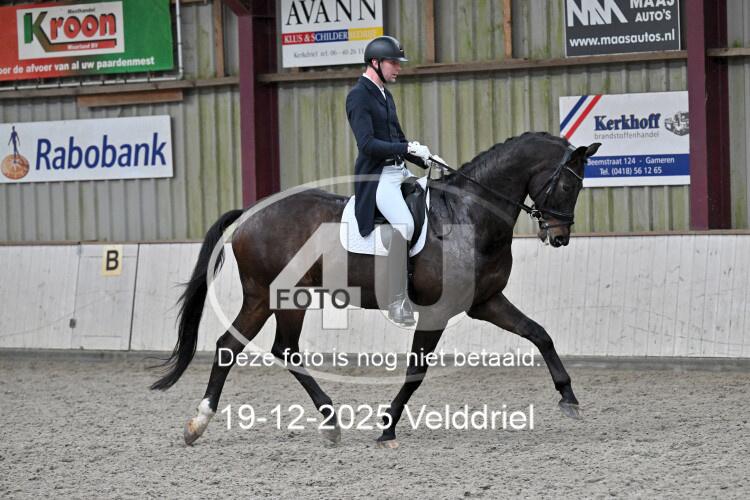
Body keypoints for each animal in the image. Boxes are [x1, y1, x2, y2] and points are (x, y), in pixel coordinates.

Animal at [151, 131, 601, 449]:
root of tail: (250, 214)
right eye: (567, 186)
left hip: (268, 298)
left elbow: (539, 333)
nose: (559, 237)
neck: (469, 215)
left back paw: (207, 424)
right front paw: (386, 428)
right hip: (280, 296)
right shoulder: (437, 312)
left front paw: (568, 397)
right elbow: (416, 372)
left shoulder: (486, 301)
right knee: (275, 349)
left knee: (240, 346)